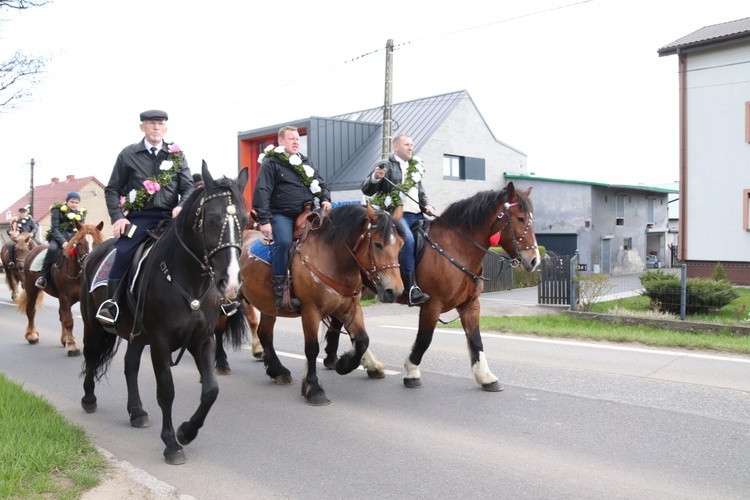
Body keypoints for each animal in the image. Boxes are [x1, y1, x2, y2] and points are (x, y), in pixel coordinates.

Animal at [17, 222, 106, 356]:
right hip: (31, 289)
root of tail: (32, 251)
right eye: (79, 243)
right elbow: (68, 321)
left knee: (61, 315)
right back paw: (32, 335)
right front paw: (72, 346)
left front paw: (71, 341)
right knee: (31, 311)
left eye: (99, 242)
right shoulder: (65, 297)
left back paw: (65, 339)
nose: (90, 263)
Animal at [80, 164, 250, 464]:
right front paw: (171, 443)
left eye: (244, 219)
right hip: (93, 324)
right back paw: (89, 399)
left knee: (130, 365)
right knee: (91, 355)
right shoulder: (160, 342)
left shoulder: (202, 340)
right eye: (212, 219)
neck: (186, 279)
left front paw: (186, 432)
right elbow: (166, 391)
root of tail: (93, 254)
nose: (230, 282)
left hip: (136, 334)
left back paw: (136, 412)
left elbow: (211, 390)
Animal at [324, 182, 540, 392]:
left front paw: (486, 377)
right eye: (520, 219)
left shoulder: (470, 304)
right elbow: (424, 339)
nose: (534, 260)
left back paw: (349, 361)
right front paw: (412, 372)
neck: (456, 248)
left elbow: (476, 339)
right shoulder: (432, 305)